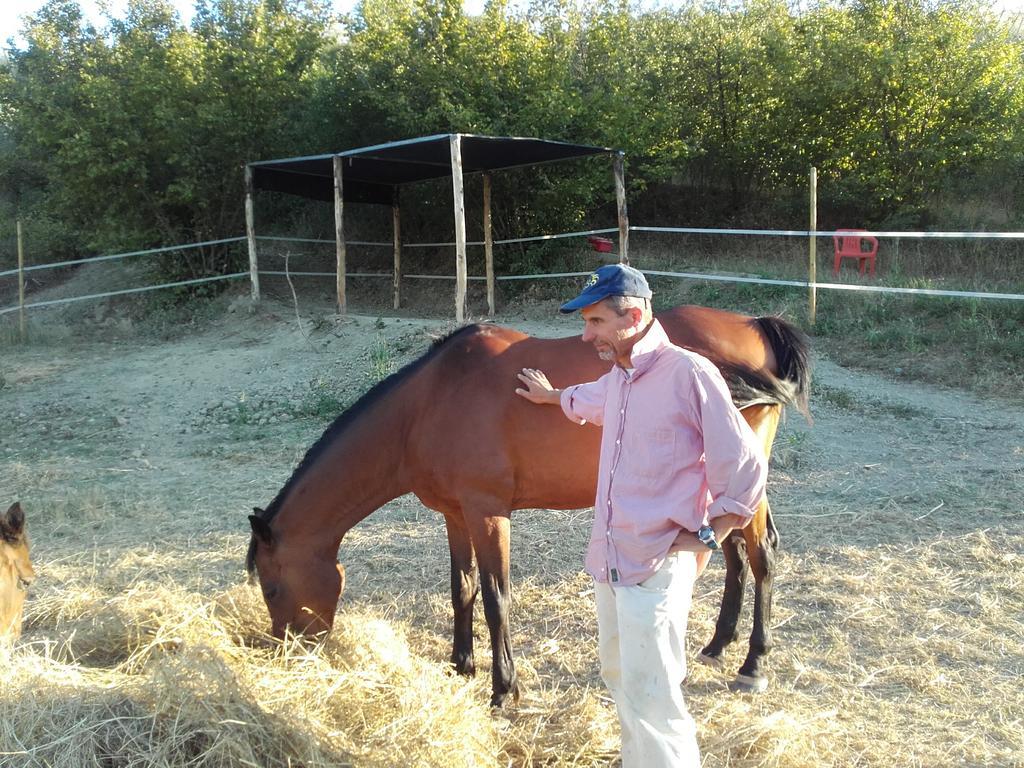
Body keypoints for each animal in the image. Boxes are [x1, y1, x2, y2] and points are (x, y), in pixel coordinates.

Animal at [247, 307, 806, 708]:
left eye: (272, 588)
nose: (285, 653)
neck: (428, 405)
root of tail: (755, 324)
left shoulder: (489, 512)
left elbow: (497, 598)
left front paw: (504, 688)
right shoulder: (455, 514)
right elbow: (463, 588)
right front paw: (460, 664)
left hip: (742, 474)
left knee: (763, 554)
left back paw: (753, 664)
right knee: (735, 554)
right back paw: (717, 645)